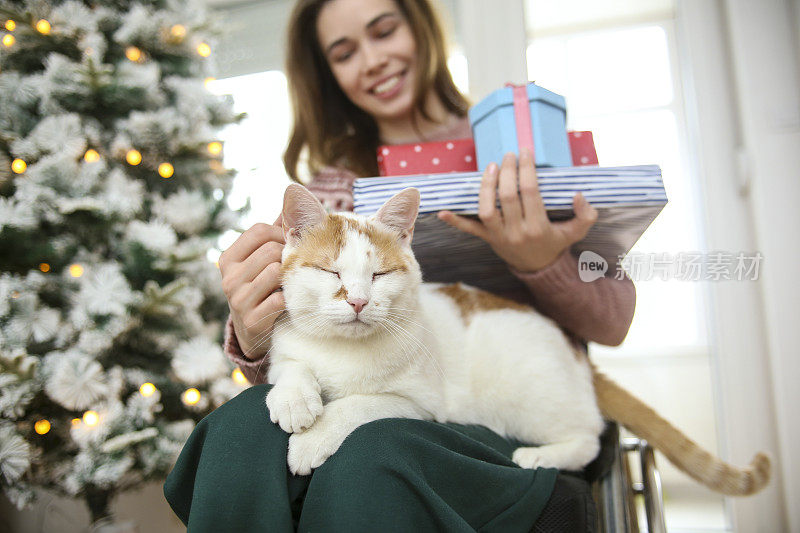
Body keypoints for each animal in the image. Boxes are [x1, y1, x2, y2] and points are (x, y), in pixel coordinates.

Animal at [262, 183, 768, 494]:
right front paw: (295, 401)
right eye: (331, 272)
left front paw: (311, 440)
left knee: (588, 436)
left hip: (530, 399)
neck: (343, 352)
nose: (359, 301)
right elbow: (290, 367)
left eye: (379, 275)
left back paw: (540, 458)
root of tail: (576, 351)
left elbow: (356, 405)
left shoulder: (419, 402)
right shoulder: (286, 347)